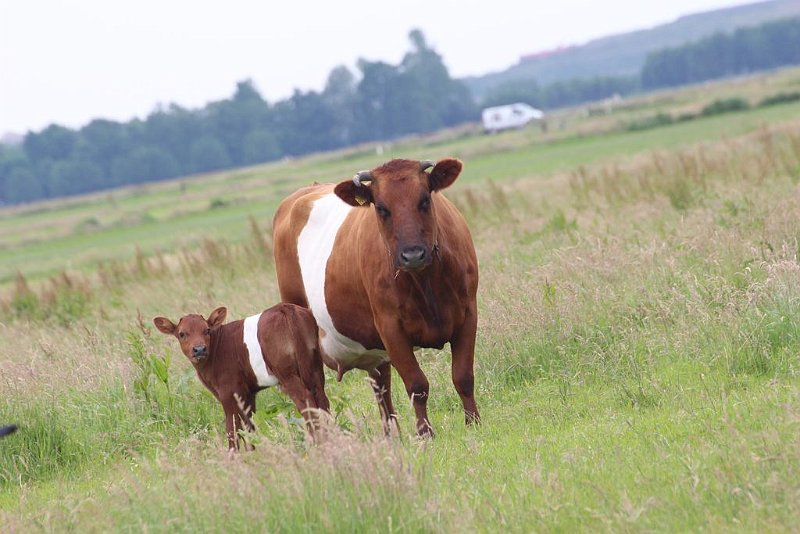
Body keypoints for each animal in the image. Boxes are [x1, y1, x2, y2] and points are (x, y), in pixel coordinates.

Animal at [153, 304, 328, 450]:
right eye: (182, 334)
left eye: (207, 330)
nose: (199, 349)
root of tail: (285, 308)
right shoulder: (248, 393)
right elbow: (248, 425)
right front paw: (253, 453)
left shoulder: (228, 391)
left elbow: (232, 428)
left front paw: (233, 458)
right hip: (315, 365)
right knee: (322, 399)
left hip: (286, 373)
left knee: (305, 400)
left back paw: (317, 442)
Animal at [272, 157, 478, 438]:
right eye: (381, 208)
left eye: (425, 199)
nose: (412, 255)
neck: (425, 281)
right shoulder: (390, 327)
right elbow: (417, 385)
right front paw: (425, 434)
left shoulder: (468, 313)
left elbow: (463, 376)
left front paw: (474, 423)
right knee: (315, 397)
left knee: (380, 385)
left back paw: (392, 434)